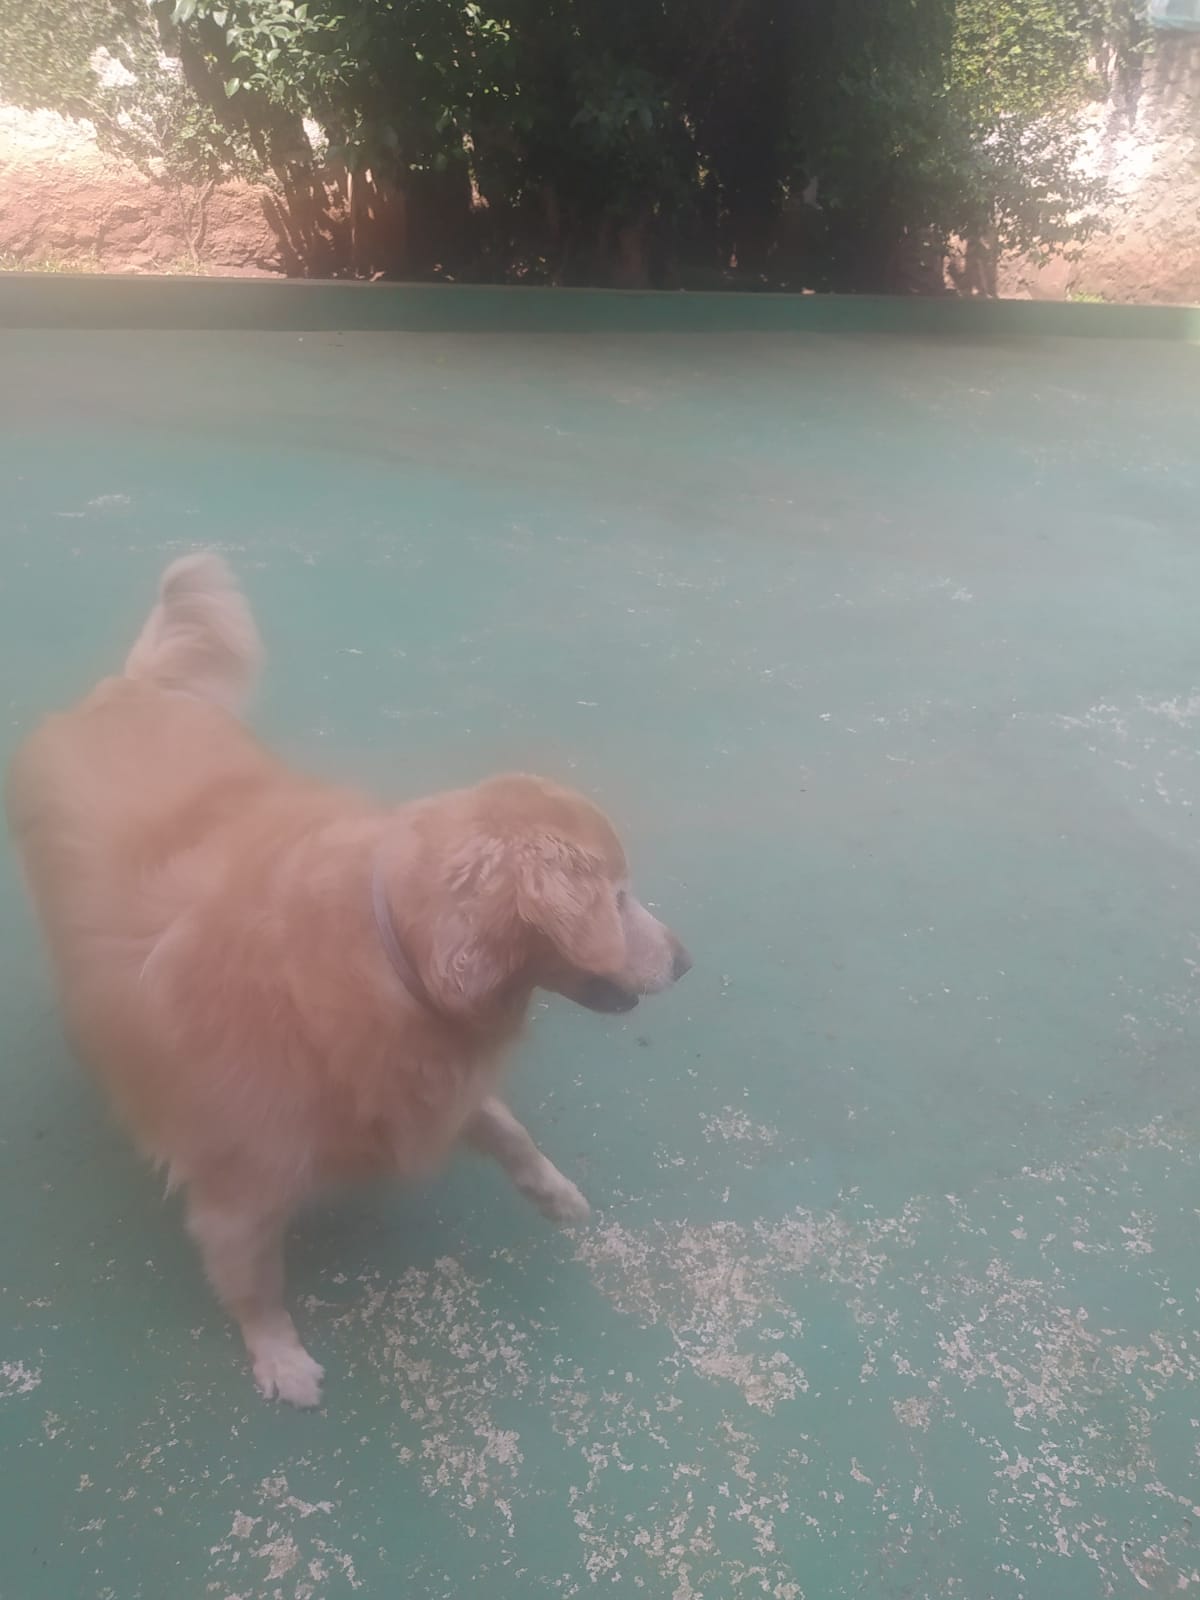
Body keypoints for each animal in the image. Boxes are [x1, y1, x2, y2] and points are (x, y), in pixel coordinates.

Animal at [6, 554, 690, 1406]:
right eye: (617, 897)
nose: (686, 958)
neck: (396, 955)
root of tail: (134, 686)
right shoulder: (240, 1182)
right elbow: (255, 1280)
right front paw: (278, 1356)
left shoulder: (423, 1080)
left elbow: (507, 1129)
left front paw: (552, 1191)